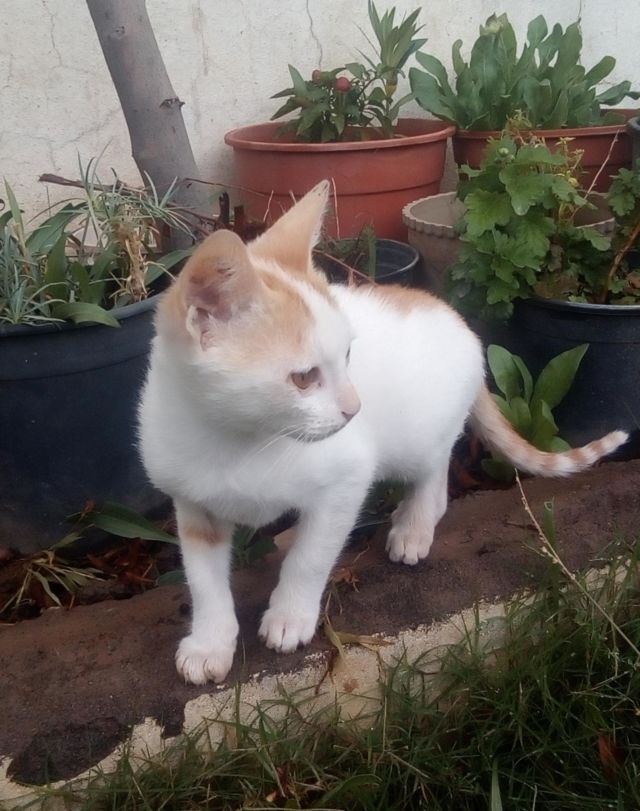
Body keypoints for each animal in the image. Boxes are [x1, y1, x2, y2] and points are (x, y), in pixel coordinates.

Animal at [138, 180, 628, 685]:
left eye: (347, 356)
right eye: (304, 377)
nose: (354, 409)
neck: (238, 437)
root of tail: (455, 317)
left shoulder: (348, 477)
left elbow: (313, 555)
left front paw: (290, 614)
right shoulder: (192, 503)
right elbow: (204, 580)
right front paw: (210, 642)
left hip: (421, 433)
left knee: (435, 470)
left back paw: (415, 523)